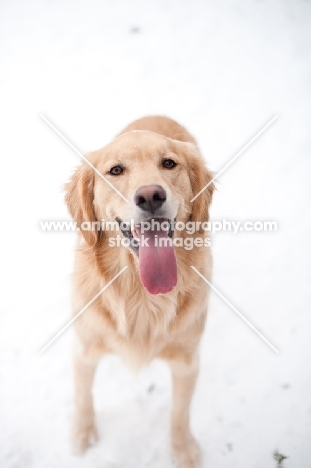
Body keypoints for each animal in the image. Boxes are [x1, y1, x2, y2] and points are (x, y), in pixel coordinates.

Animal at [64, 115, 216, 466]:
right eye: (116, 170)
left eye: (169, 163)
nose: (150, 196)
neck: (142, 296)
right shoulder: (84, 348)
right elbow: (82, 394)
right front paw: (82, 432)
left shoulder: (187, 361)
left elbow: (179, 413)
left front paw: (182, 449)